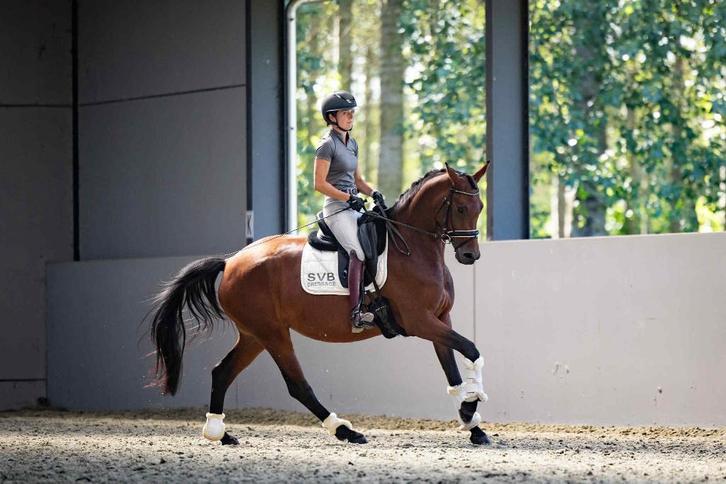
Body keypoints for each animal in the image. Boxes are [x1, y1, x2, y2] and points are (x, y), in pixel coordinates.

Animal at [149, 162, 491, 445]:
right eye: (461, 207)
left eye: (480, 207)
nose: (470, 255)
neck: (412, 247)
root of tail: (231, 261)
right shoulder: (419, 321)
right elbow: (472, 350)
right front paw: (471, 407)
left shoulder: (440, 319)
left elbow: (453, 372)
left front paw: (472, 424)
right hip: (272, 333)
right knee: (297, 386)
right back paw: (345, 431)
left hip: (253, 336)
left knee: (221, 372)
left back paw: (218, 433)